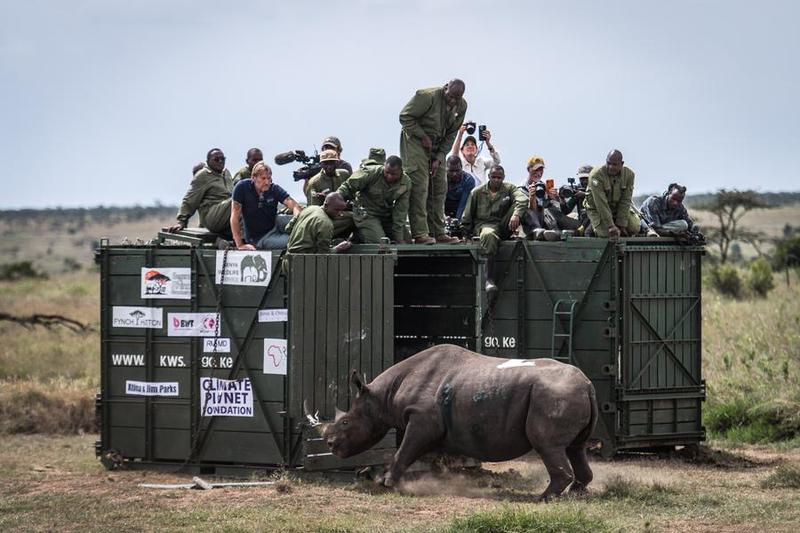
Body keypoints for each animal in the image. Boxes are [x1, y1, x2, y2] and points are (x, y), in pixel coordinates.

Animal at [318, 344, 598, 500]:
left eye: (345, 423)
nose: (330, 444)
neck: (381, 396)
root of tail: (588, 384)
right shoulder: (428, 423)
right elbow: (414, 453)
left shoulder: (423, 418)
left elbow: (403, 451)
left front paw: (385, 483)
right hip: (564, 392)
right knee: (575, 448)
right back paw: (576, 494)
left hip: (553, 394)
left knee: (548, 446)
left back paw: (543, 499)